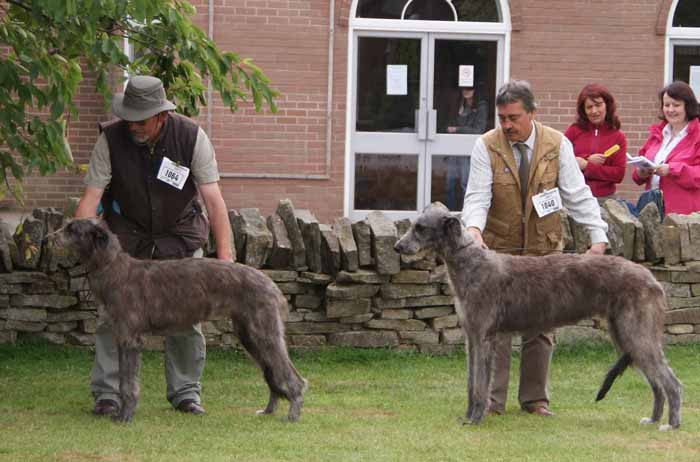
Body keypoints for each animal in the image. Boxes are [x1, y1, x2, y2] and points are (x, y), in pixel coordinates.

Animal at [56, 218, 304, 424]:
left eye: (72, 229)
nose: (51, 237)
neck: (113, 268)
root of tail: (272, 285)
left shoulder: (131, 339)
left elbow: (129, 384)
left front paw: (125, 416)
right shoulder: (121, 337)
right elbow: (122, 380)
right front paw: (121, 412)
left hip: (264, 333)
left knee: (293, 377)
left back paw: (292, 415)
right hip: (249, 336)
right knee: (272, 374)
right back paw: (269, 410)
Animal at [396, 204, 680, 432]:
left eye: (421, 227)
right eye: (413, 225)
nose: (398, 246)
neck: (470, 262)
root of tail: (653, 279)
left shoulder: (484, 337)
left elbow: (479, 385)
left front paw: (475, 420)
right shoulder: (471, 338)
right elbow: (470, 383)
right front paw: (468, 417)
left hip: (637, 332)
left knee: (671, 381)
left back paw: (671, 424)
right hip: (624, 334)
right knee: (656, 383)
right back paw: (653, 419)